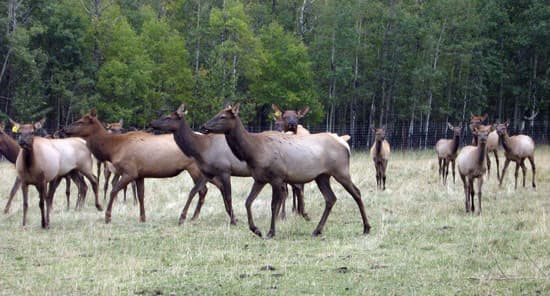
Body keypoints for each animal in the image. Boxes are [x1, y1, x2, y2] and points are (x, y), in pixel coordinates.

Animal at [62, 109, 211, 224]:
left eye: (80, 122)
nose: (64, 129)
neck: (113, 149)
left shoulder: (130, 172)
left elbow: (114, 190)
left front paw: (108, 216)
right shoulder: (140, 174)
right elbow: (141, 195)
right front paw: (142, 217)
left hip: (194, 168)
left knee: (202, 190)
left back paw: (191, 216)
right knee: (203, 190)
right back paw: (194, 216)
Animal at [201, 103, 374, 238]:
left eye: (223, 116)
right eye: (217, 114)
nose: (203, 126)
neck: (252, 152)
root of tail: (346, 145)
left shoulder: (277, 177)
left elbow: (273, 205)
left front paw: (270, 232)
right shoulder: (259, 178)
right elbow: (248, 201)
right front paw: (256, 229)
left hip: (341, 171)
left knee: (356, 193)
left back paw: (366, 227)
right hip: (322, 176)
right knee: (331, 198)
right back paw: (317, 230)